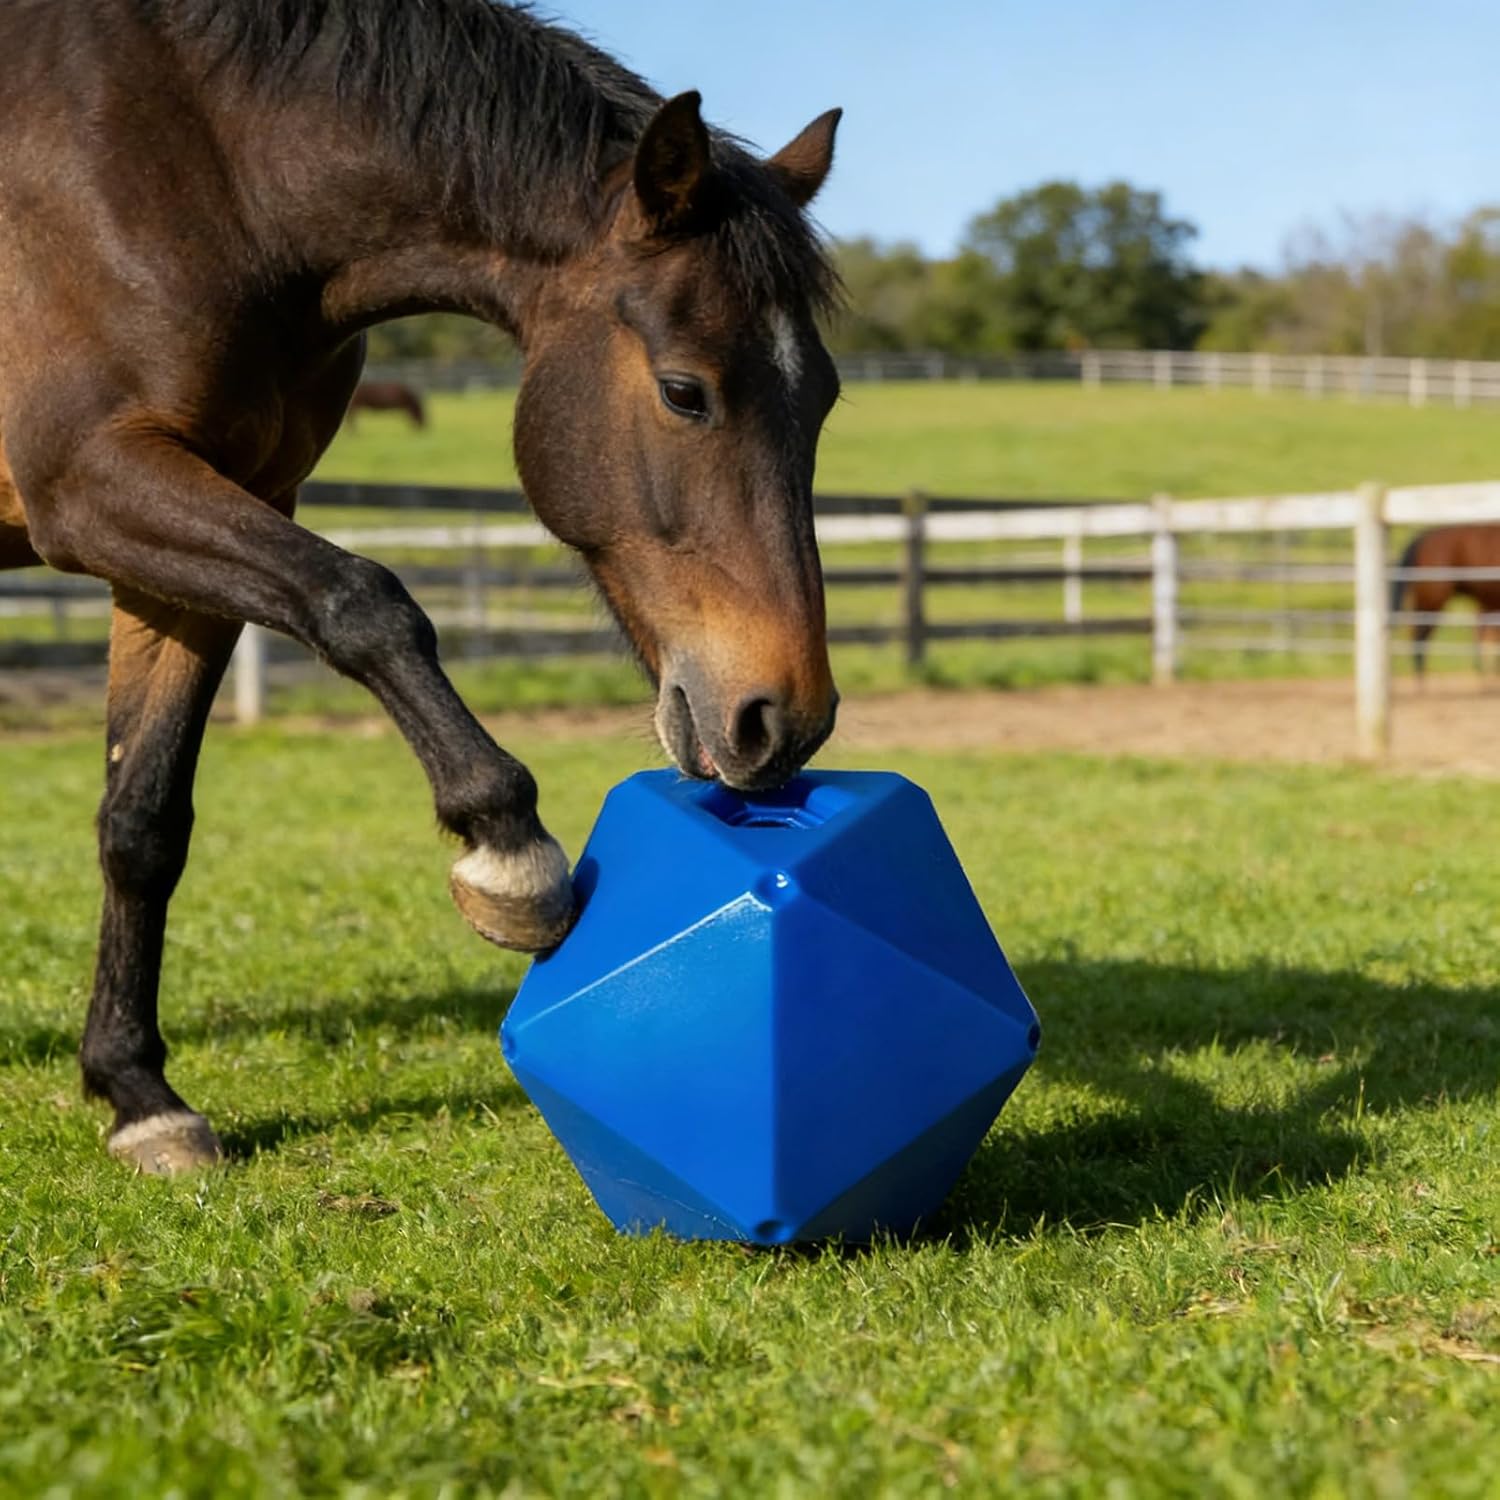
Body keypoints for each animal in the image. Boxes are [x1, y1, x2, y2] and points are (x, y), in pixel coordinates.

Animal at [0, 0, 843, 1175]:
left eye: (825, 400)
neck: (193, 166)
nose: (784, 718)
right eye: (686, 392)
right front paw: (510, 852)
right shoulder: (91, 482)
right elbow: (366, 601)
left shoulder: (200, 521)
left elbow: (142, 821)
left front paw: (137, 1094)